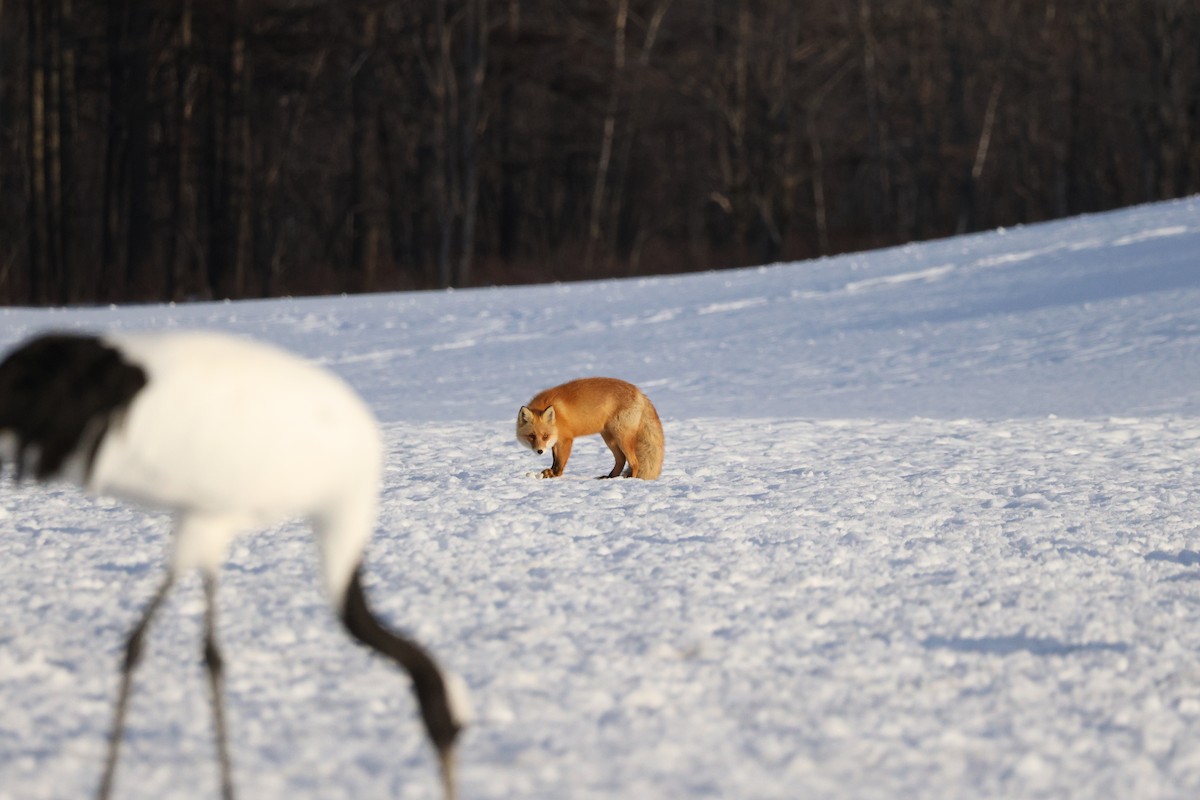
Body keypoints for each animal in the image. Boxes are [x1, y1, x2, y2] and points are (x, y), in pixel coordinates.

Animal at [516, 377, 664, 480]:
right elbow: (554, 460)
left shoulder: (566, 440)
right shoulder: (556, 442)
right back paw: (610, 477)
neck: (557, 418)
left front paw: (555, 475)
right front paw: (549, 473)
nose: (540, 451)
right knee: (621, 460)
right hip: (609, 438)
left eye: (545, 436)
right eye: (532, 436)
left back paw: (630, 479)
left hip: (622, 437)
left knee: (634, 462)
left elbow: (559, 463)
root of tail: (639, 392)